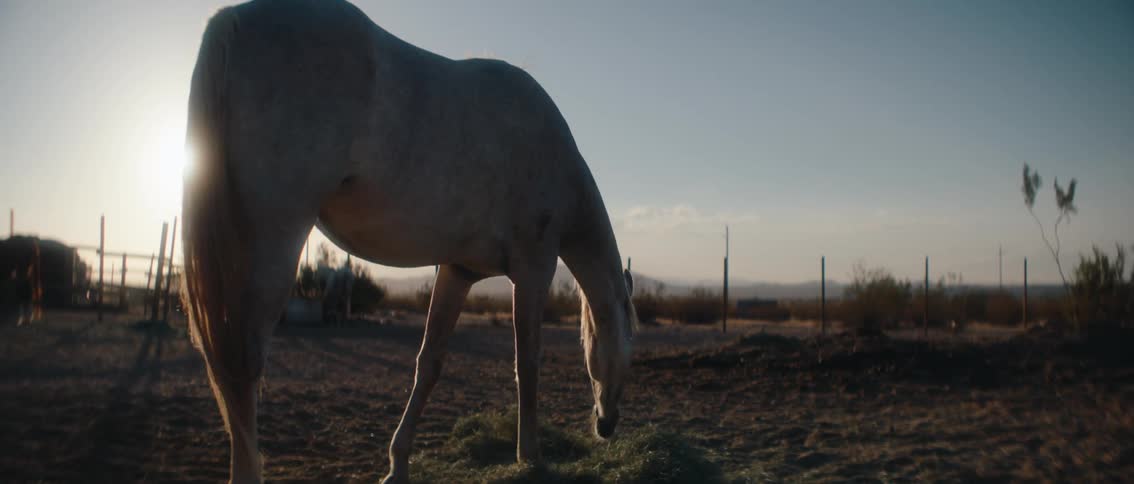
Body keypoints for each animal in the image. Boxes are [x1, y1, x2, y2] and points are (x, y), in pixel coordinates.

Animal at [180, 1, 638, 482]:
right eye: (630, 354)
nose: (607, 425)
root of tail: (232, 21)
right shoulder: (534, 272)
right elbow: (527, 364)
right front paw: (529, 457)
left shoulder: (459, 272)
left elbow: (429, 363)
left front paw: (397, 464)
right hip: (270, 244)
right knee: (242, 365)